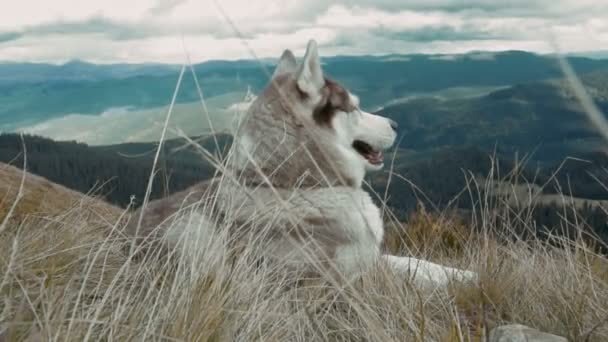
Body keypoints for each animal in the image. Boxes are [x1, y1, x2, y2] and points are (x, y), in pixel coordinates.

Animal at [131, 39, 478, 286]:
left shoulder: (370, 258)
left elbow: (417, 263)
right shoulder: (343, 279)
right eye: (354, 108)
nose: (395, 124)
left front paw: (467, 275)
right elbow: (409, 274)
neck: (293, 185)